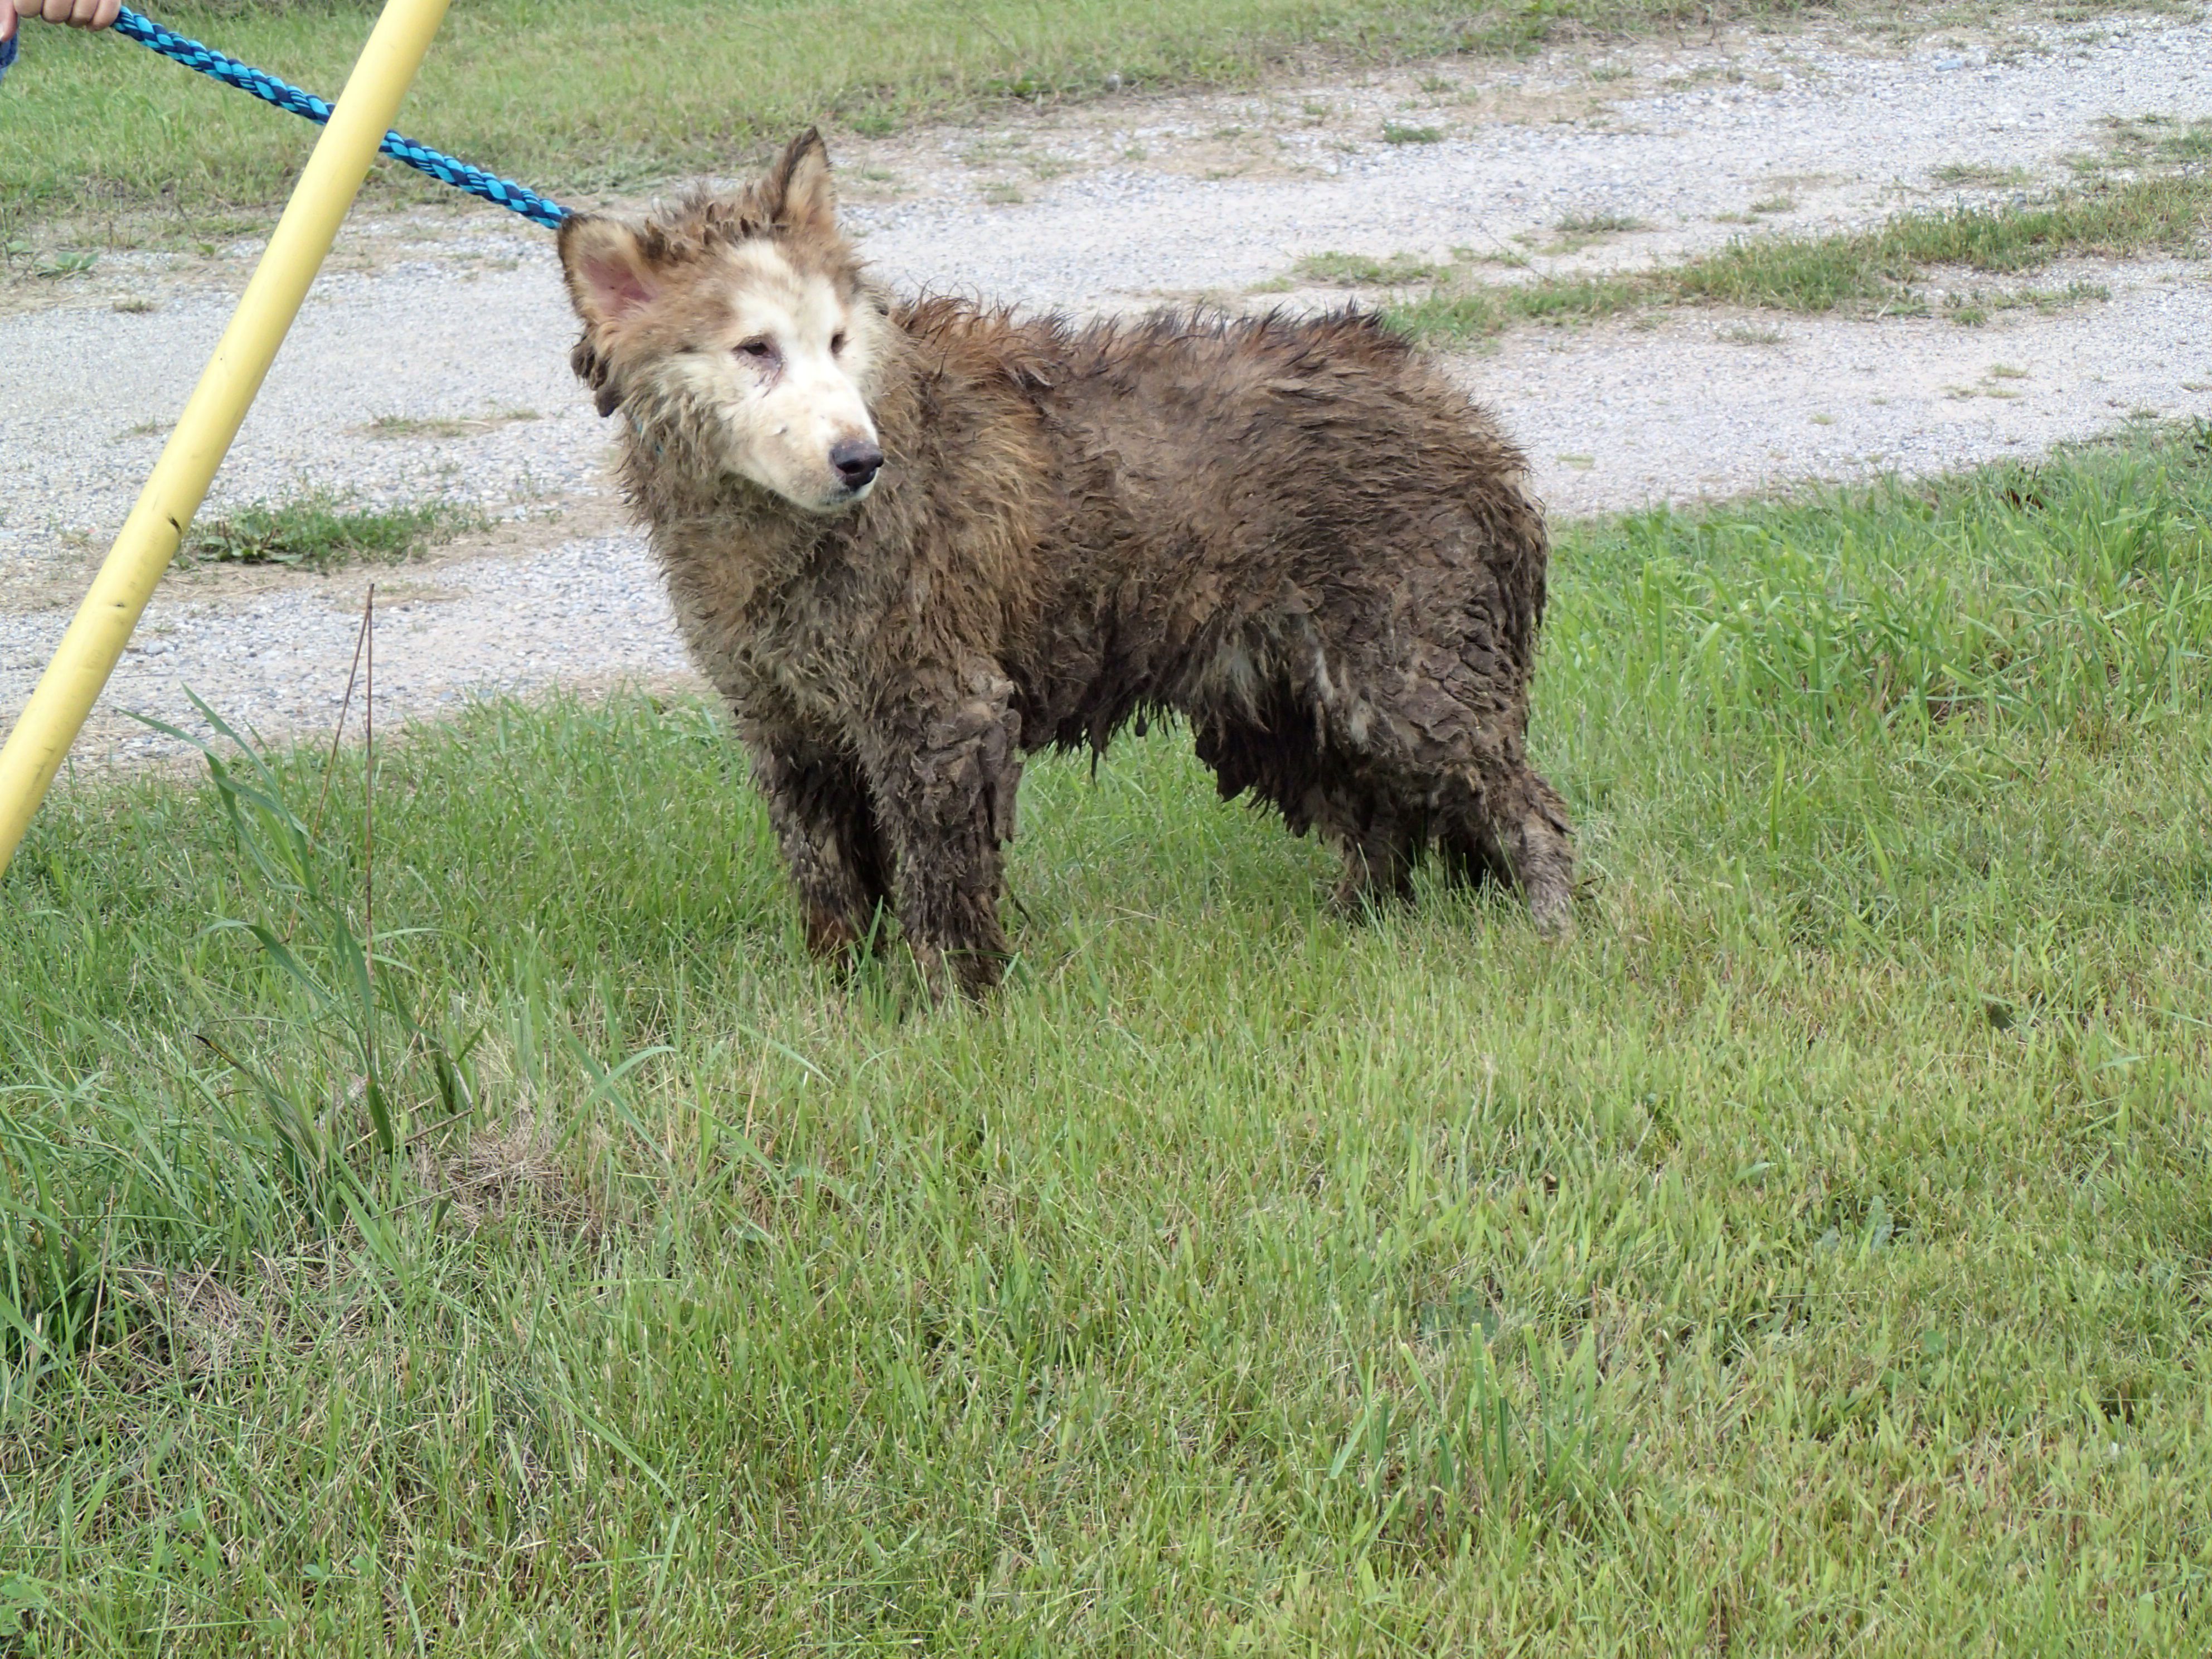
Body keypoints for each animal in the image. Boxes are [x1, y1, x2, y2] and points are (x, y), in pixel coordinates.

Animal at [561, 133, 1584, 1000]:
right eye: (754, 350)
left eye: (839, 341)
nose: (861, 460)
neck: (780, 526)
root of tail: (1458, 413)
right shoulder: (787, 726)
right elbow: (828, 884)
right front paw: (842, 1006)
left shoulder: (936, 710)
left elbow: (939, 885)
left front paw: (950, 1010)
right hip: (1274, 695)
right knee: (1378, 815)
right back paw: (1356, 926)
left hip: (1406, 669)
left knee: (1520, 805)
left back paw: (1551, 929)